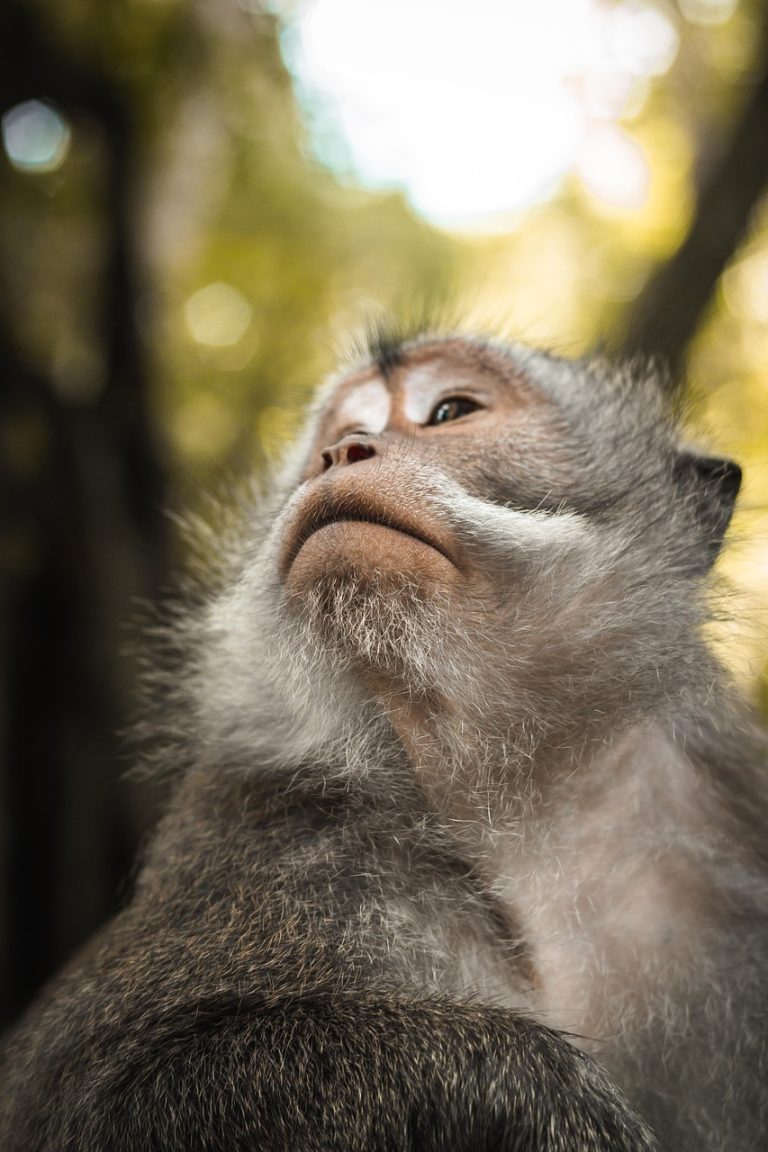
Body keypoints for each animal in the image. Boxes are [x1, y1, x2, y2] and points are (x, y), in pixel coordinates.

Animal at [1, 327, 768, 1152]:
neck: (516, 800)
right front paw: (534, 1086)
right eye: (339, 433)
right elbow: (106, 1099)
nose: (343, 452)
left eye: (450, 411)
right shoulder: (258, 828)